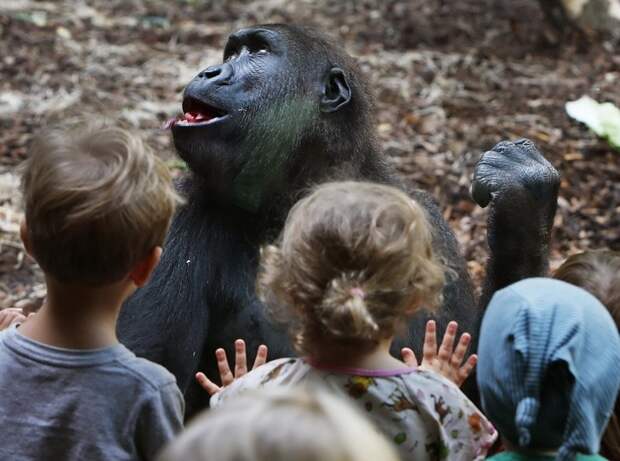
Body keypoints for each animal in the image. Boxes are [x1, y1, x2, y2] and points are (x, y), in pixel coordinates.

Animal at [116, 23, 556, 416]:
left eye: (257, 52)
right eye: (230, 54)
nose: (210, 72)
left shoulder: (431, 225)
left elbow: (471, 391)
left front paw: (522, 205)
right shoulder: (174, 219)